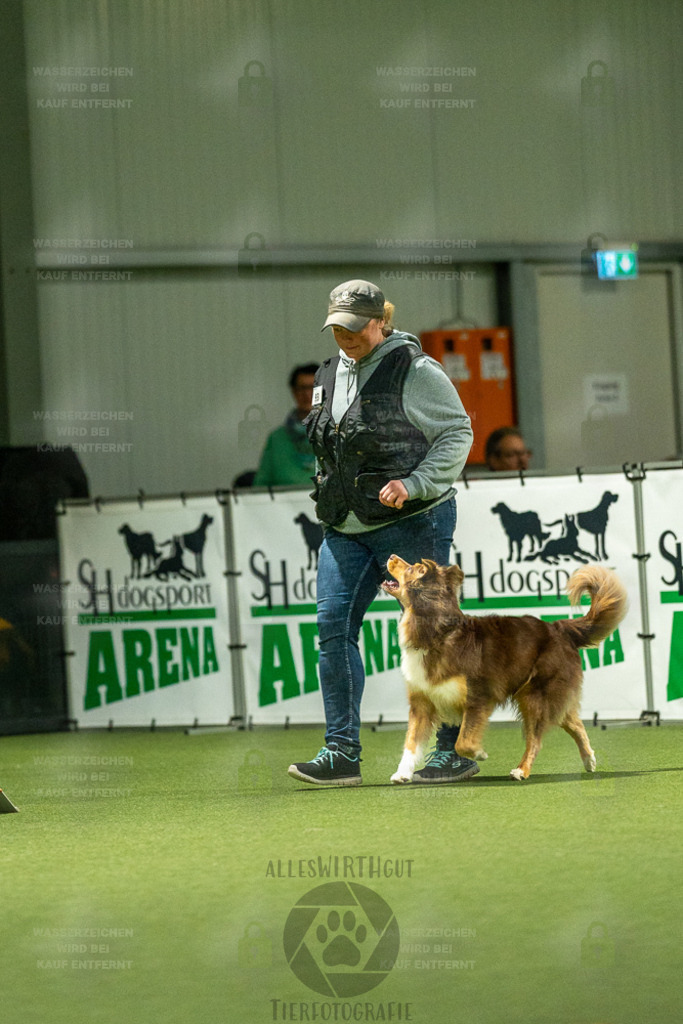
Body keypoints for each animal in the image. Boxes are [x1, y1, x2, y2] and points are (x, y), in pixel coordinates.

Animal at [382, 557, 626, 778]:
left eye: (413, 567)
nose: (391, 556)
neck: (437, 632)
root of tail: (558, 627)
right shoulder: (421, 702)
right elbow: (411, 743)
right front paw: (401, 774)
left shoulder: (478, 698)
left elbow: (463, 741)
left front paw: (479, 753)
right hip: (546, 696)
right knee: (574, 722)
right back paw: (589, 760)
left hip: (535, 697)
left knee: (536, 740)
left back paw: (522, 770)